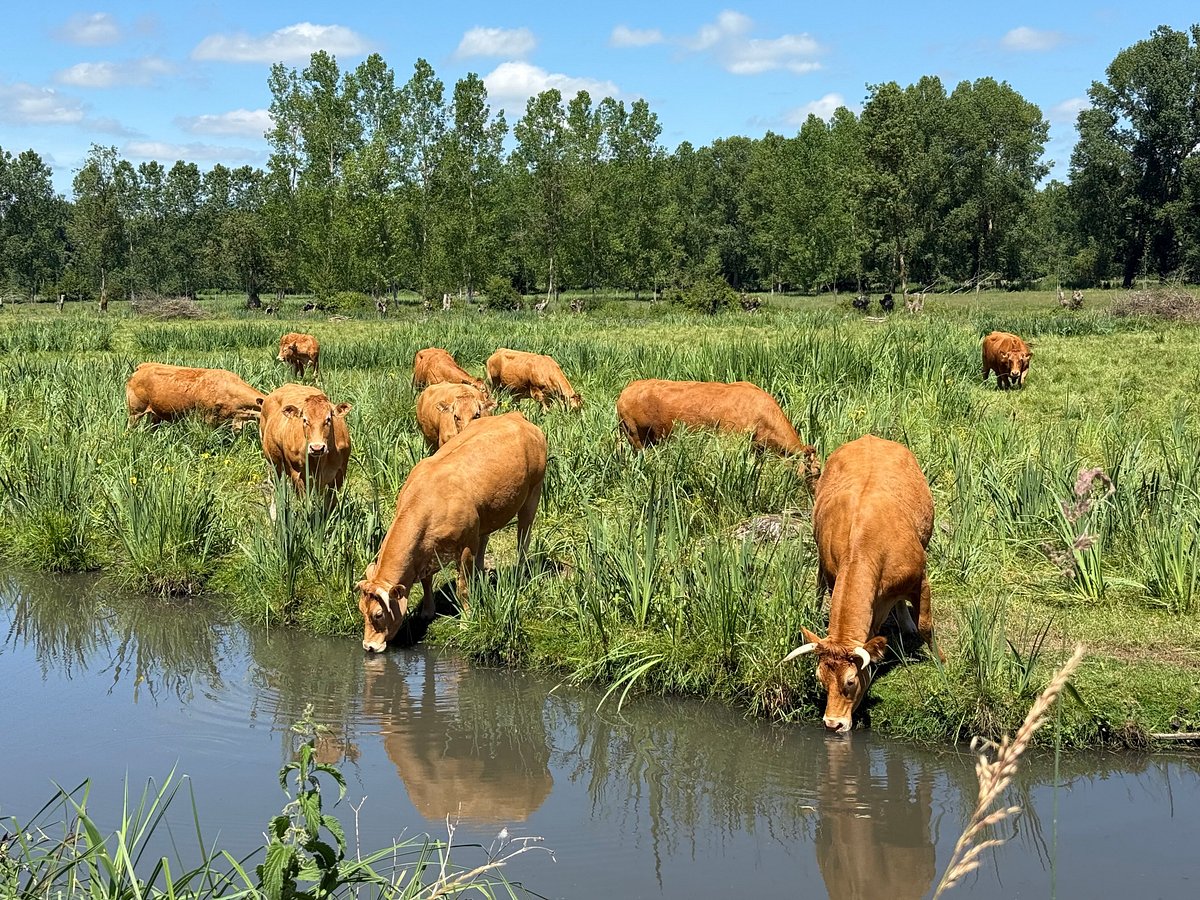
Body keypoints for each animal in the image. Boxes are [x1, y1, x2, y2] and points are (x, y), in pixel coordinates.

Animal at [357, 412, 546, 652]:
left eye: (379, 614)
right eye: (361, 610)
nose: (368, 646)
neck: (427, 501)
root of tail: (515, 416)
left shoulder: (464, 546)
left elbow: (462, 587)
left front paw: (466, 621)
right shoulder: (427, 553)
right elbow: (427, 581)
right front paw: (427, 611)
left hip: (533, 493)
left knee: (524, 537)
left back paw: (520, 572)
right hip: (486, 514)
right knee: (485, 538)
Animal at [782, 434, 940, 734]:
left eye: (851, 681)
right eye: (820, 679)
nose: (833, 723)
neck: (864, 544)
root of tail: (870, 438)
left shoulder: (920, 580)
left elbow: (927, 626)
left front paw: (942, 663)